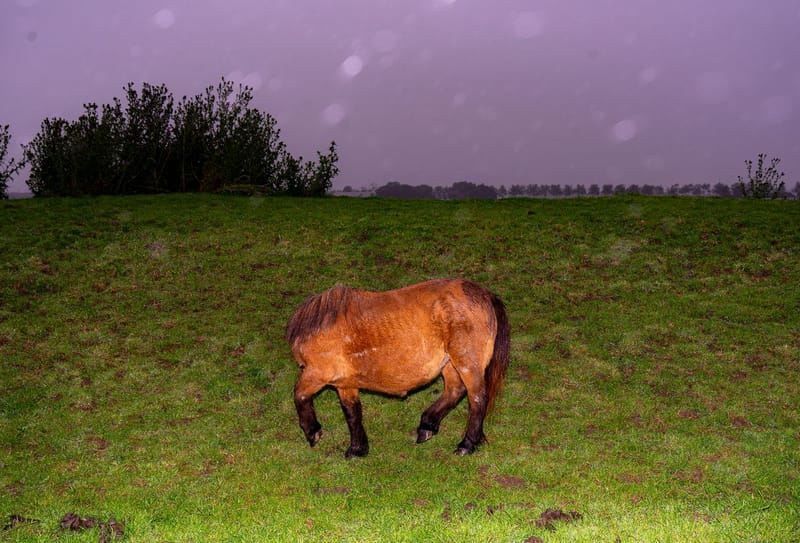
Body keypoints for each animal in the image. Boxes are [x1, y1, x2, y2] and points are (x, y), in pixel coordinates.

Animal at [285, 278, 510, 458]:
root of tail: (486, 295)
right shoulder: (345, 384)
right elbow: (352, 412)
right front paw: (358, 449)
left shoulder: (317, 373)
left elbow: (299, 394)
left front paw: (312, 431)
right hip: (449, 363)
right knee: (455, 390)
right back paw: (427, 425)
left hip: (466, 363)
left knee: (477, 398)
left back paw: (467, 444)